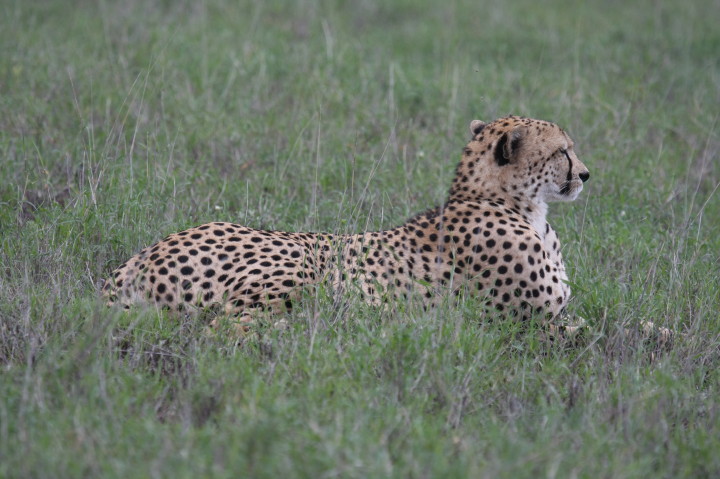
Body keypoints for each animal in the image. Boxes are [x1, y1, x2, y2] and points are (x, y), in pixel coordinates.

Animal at [102, 115, 669, 344]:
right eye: (562, 152)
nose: (586, 175)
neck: (514, 206)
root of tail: (136, 258)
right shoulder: (527, 324)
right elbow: (601, 330)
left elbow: (618, 319)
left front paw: (663, 330)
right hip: (300, 261)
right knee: (222, 329)